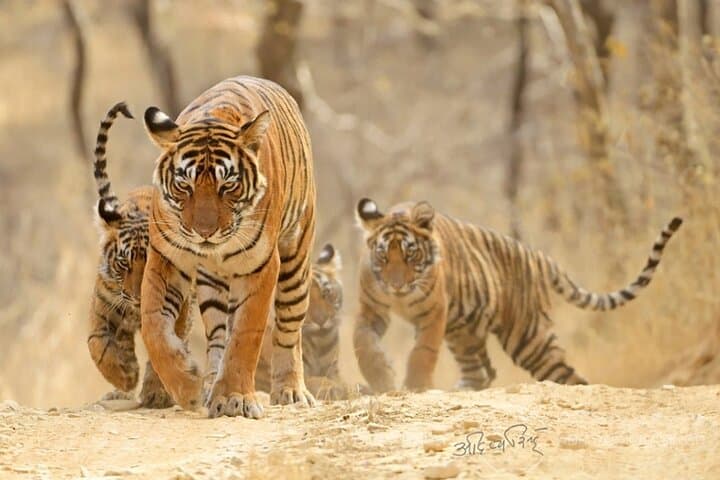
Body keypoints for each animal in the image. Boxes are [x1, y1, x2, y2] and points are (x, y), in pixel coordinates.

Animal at [87, 101, 192, 408]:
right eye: (124, 263)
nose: (137, 297)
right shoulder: (103, 305)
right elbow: (97, 342)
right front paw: (124, 377)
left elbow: (165, 349)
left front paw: (156, 393)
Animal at [140, 76, 316, 419]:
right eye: (184, 185)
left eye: (228, 185)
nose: (204, 232)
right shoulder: (166, 258)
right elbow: (153, 324)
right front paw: (188, 387)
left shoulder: (263, 264)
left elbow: (246, 335)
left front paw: (235, 398)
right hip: (212, 286)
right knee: (218, 336)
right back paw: (210, 385)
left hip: (296, 262)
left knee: (289, 330)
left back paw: (291, 390)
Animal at [353, 198, 682, 393]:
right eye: (383, 256)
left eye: (410, 255)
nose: (396, 286)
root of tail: (538, 256)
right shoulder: (371, 309)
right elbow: (363, 345)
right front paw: (381, 378)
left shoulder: (434, 313)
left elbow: (423, 352)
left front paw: (415, 385)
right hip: (464, 334)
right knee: (482, 372)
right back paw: (462, 390)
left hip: (527, 338)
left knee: (569, 376)